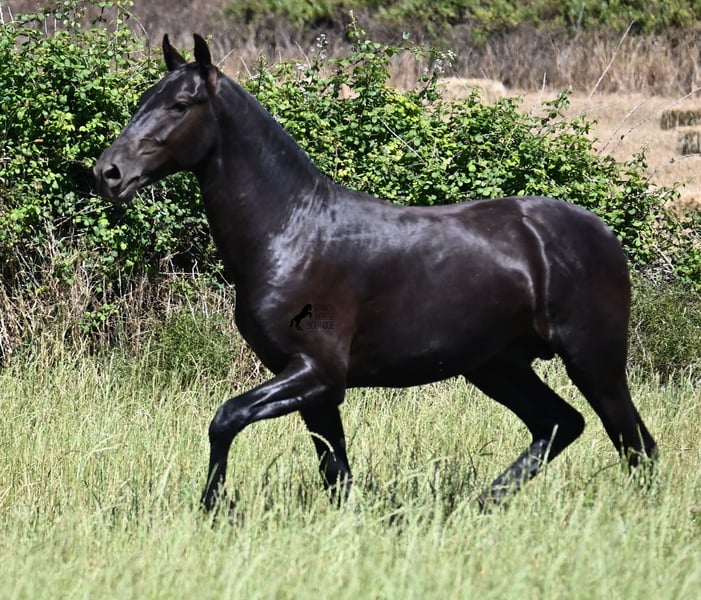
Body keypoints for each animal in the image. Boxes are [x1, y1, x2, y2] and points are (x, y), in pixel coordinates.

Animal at [94, 34, 657, 511]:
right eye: (144, 99)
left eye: (179, 105)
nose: (108, 173)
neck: (291, 231)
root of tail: (601, 232)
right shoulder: (315, 388)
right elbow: (335, 473)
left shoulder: (317, 372)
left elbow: (225, 418)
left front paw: (213, 507)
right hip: (497, 365)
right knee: (560, 424)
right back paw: (477, 506)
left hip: (593, 359)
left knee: (635, 444)